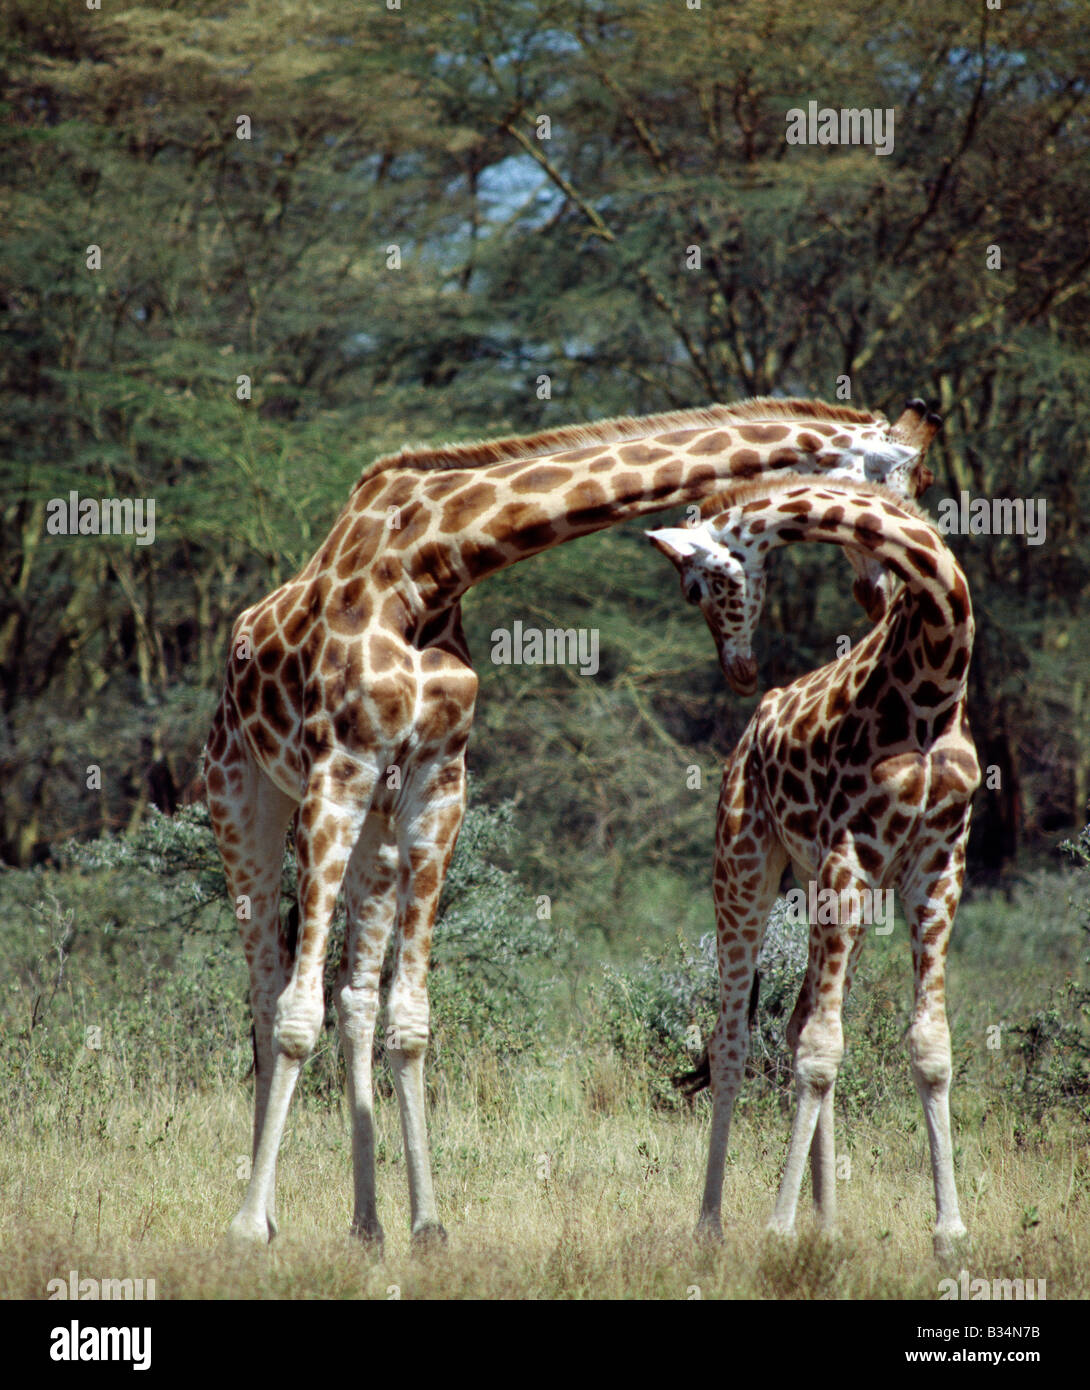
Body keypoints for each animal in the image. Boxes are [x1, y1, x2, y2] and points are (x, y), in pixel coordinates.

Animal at [208, 394, 939, 1251]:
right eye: (907, 480)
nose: (887, 588)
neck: (430, 564)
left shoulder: (437, 782)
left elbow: (408, 1017)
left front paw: (428, 1226)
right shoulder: (341, 765)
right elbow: (295, 1014)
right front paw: (247, 1228)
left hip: (377, 835)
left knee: (354, 1000)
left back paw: (367, 1225)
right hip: (247, 797)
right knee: (265, 992)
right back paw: (265, 1216)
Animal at [647, 469, 978, 1262]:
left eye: (697, 587)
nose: (737, 670)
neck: (934, 679)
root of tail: (746, 736)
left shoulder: (939, 865)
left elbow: (929, 1046)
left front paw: (950, 1232)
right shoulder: (847, 854)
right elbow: (823, 1051)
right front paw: (775, 1226)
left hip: (841, 896)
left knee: (797, 1021)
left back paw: (826, 1224)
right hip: (744, 866)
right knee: (732, 1040)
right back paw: (713, 1223)